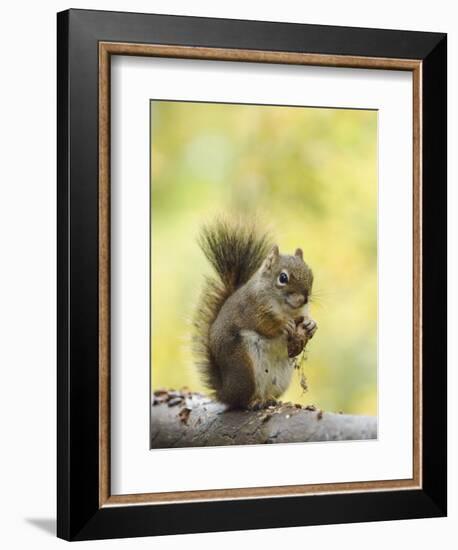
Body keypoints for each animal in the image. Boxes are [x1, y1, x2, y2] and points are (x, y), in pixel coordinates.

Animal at [193, 220, 318, 410]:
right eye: (283, 278)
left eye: (311, 275)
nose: (304, 299)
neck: (286, 309)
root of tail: (225, 393)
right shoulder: (251, 308)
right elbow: (264, 324)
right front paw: (284, 325)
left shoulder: (301, 312)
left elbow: (306, 319)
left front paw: (311, 325)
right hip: (244, 366)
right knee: (241, 400)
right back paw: (254, 401)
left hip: (280, 379)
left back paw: (270, 399)